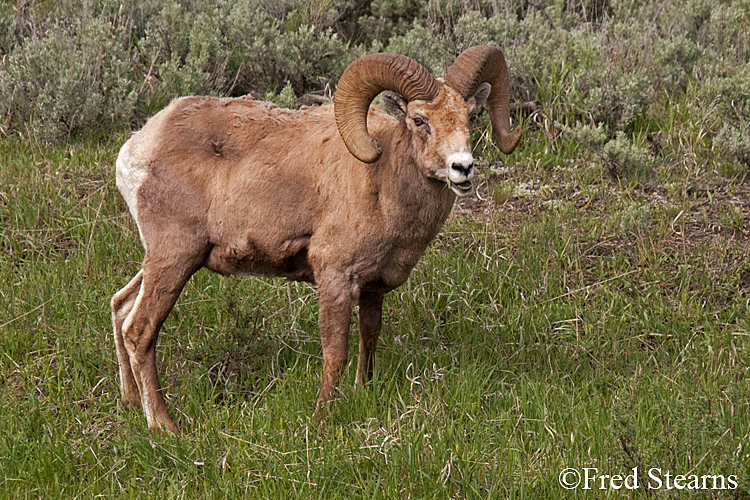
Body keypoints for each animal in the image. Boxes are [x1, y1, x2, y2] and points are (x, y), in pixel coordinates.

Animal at [113, 46, 524, 434]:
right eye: (419, 120)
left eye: (471, 116)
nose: (462, 168)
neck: (382, 181)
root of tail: (136, 150)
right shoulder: (335, 278)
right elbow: (335, 353)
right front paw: (320, 420)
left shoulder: (372, 287)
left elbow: (369, 339)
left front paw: (363, 393)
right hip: (175, 258)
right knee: (140, 330)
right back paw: (165, 426)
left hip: (166, 261)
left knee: (121, 307)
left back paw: (131, 403)